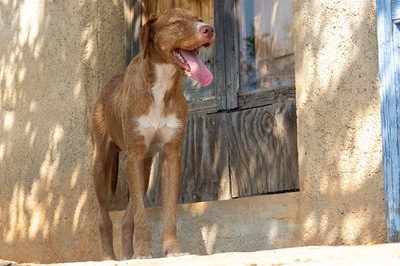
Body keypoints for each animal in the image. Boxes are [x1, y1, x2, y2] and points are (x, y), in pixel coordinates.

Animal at [90, 7, 216, 260]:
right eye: (177, 22)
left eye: (199, 20)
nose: (209, 29)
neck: (161, 84)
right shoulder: (134, 157)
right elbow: (141, 215)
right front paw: (143, 252)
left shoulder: (171, 157)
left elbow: (168, 213)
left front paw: (172, 250)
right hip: (102, 163)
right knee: (104, 218)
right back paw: (109, 257)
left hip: (145, 167)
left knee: (127, 219)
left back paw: (127, 255)